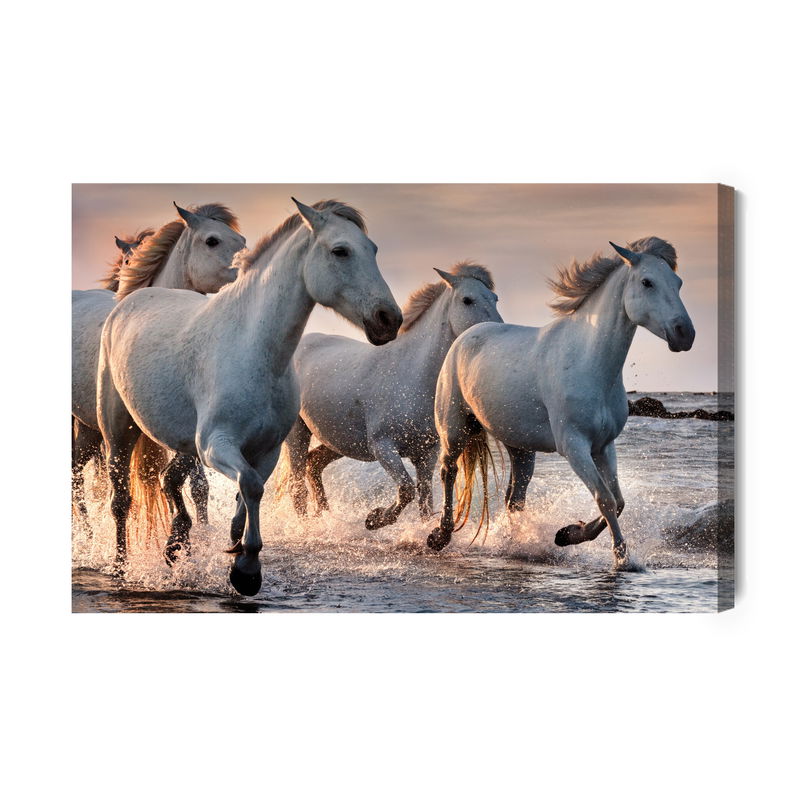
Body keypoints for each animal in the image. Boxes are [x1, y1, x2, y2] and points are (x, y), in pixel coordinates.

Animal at [97, 198, 403, 596]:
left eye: (373, 249)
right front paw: (246, 569)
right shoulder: (217, 445)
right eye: (341, 250)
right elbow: (251, 485)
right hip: (118, 430)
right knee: (121, 499)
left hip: (181, 442)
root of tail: (130, 299)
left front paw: (235, 541)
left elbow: (250, 487)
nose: (389, 319)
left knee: (169, 480)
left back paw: (176, 545)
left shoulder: (265, 449)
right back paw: (121, 567)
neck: (254, 351)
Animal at [283, 261, 502, 529]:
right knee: (297, 487)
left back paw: (324, 516)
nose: (494, 331)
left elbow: (424, 501)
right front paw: (375, 519)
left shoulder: (426, 454)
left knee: (313, 464)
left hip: (337, 439)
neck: (412, 374)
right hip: (297, 433)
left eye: (495, 298)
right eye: (467, 300)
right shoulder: (384, 448)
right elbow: (406, 490)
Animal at [427, 237, 695, 568]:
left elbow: (618, 501)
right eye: (647, 282)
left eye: (678, 282)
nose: (685, 334)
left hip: (520, 447)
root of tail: (465, 336)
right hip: (454, 430)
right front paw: (621, 558)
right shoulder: (574, 446)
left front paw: (567, 534)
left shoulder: (603, 446)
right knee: (448, 471)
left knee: (514, 497)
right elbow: (605, 499)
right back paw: (439, 536)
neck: (588, 362)